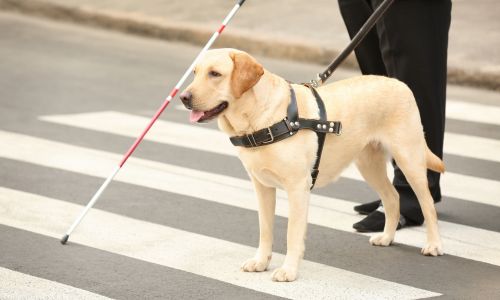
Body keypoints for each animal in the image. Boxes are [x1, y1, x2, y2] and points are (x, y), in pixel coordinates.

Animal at [180, 47, 446, 282]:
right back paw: (387, 237)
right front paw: (261, 262)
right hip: (368, 164)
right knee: (392, 197)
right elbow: (265, 229)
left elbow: (292, 233)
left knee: (427, 204)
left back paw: (434, 244)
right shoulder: (262, 186)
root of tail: (399, 83)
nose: (183, 97)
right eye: (195, 72)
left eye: (215, 73)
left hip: (409, 158)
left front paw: (288, 270)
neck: (260, 119)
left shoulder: (298, 187)